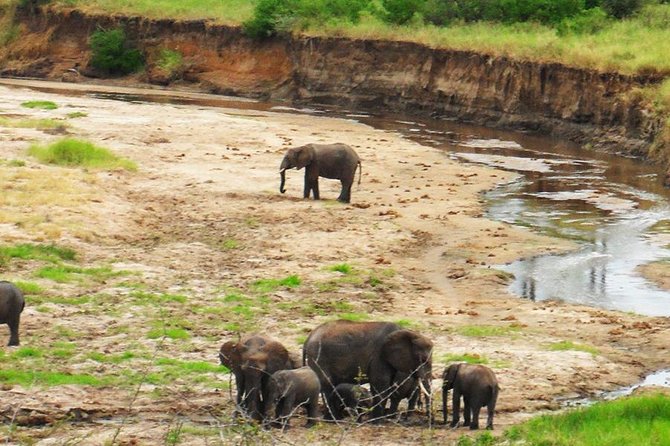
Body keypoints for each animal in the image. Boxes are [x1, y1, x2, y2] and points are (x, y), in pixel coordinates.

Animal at [303, 320, 433, 421]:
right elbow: (380, 384)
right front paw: (377, 422)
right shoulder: (379, 356)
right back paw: (334, 419)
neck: (408, 332)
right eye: (423, 359)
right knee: (327, 385)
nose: (428, 418)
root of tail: (308, 337)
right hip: (318, 357)